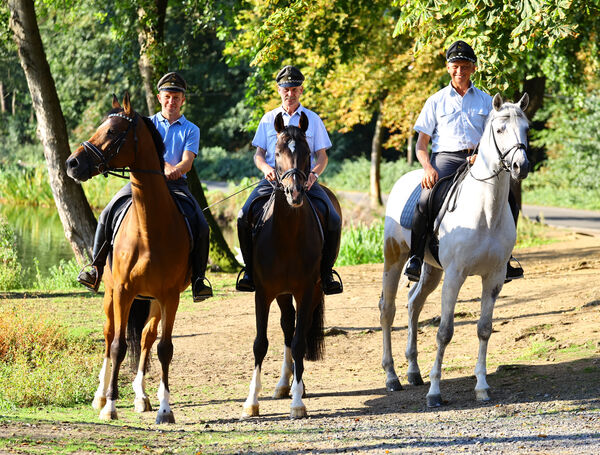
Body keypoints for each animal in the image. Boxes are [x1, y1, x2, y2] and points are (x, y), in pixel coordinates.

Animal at [66, 92, 192, 424]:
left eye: (112, 132)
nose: (72, 163)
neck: (150, 228)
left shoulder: (170, 296)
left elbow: (164, 348)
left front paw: (165, 409)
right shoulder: (123, 291)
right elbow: (118, 346)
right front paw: (109, 406)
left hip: (153, 300)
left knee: (147, 338)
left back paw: (141, 396)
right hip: (111, 294)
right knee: (109, 335)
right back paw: (100, 394)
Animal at [240, 112, 342, 418]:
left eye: (308, 153)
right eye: (276, 153)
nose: (294, 193)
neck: (286, 234)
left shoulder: (307, 290)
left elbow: (299, 342)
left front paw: (298, 403)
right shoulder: (263, 292)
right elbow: (260, 344)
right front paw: (251, 402)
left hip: (311, 290)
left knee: (299, 331)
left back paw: (296, 386)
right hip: (282, 294)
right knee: (287, 325)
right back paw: (284, 384)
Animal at [380, 94, 528, 408]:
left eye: (526, 128)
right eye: (500, 129)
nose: (521, 165)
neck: (485, 211)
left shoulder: (494, 277)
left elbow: (484, 328)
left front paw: (482, 387)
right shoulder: (455, 275)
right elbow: (444, 332)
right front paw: (435, 392)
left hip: (431, 270)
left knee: (413, 304)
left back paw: (413, 371)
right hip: (395, 259)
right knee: (388, 309)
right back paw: (392, 377)